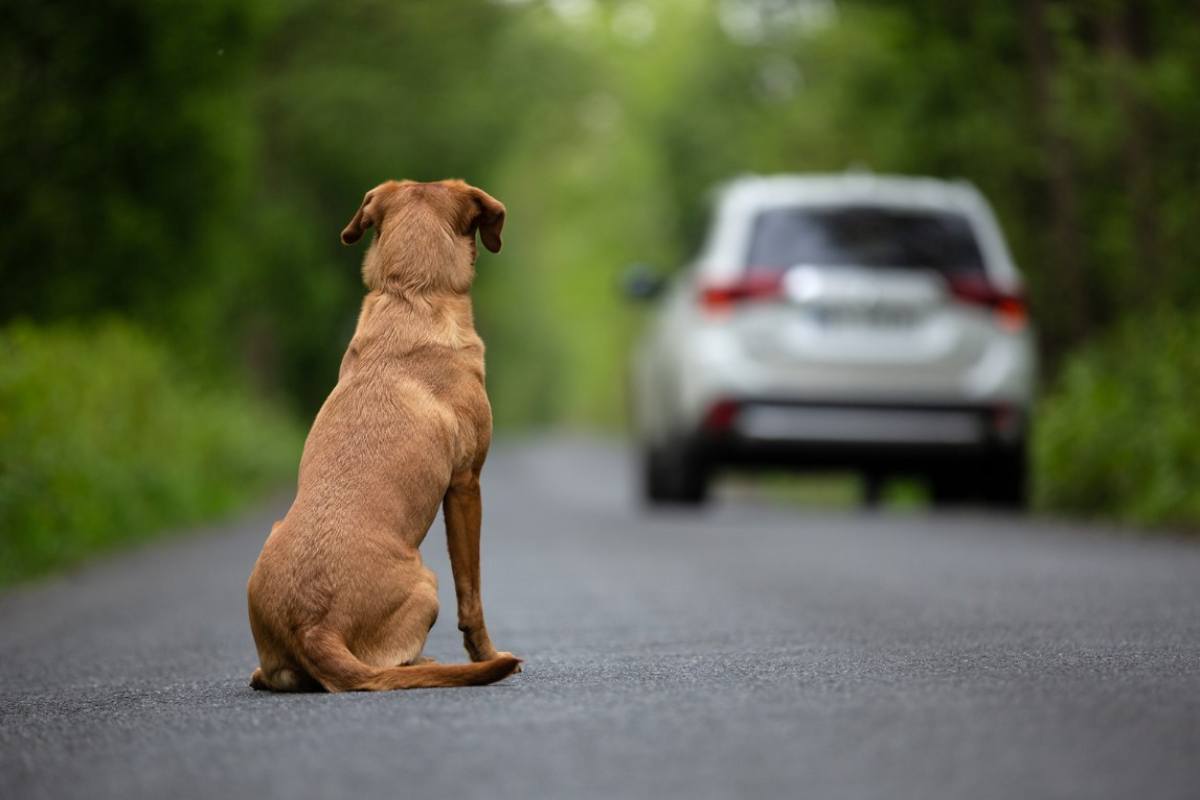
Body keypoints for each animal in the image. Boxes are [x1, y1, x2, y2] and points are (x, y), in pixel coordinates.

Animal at [244, 178, 520, 690]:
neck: (411, 292)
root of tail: (314, 628)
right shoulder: (466, 484)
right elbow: (471, 593)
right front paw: (486, 654)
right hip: (427, 584)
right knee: (395, 662)